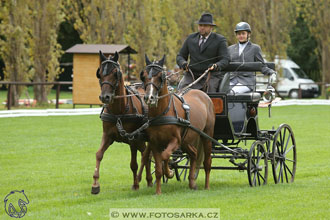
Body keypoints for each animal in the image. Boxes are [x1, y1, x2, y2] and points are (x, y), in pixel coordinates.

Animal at [91, 50, 151, 194]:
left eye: (115, 73)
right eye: (99, 73)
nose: (105, 97)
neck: (119, 111)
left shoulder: (133, 139)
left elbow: (133, 164)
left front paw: (135, 185)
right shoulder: (107, 135)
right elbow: (99, 154)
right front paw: (95, 184)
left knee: (146, 155)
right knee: (145, 154)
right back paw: (149, 180)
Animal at [140, 55, 215, 194]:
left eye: (161, 76)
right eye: (144, 76)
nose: (150, 98)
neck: (163, 112)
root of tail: (203, 94)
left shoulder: (175, 141)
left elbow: (165, 155)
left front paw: (169, 172)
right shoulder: (154, 143)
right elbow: (158, 168)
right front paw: (158, 191)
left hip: (206, 136)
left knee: (207, 161)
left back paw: (206, 186)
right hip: (186, 140)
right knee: (194, 154)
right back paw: (192, 182)